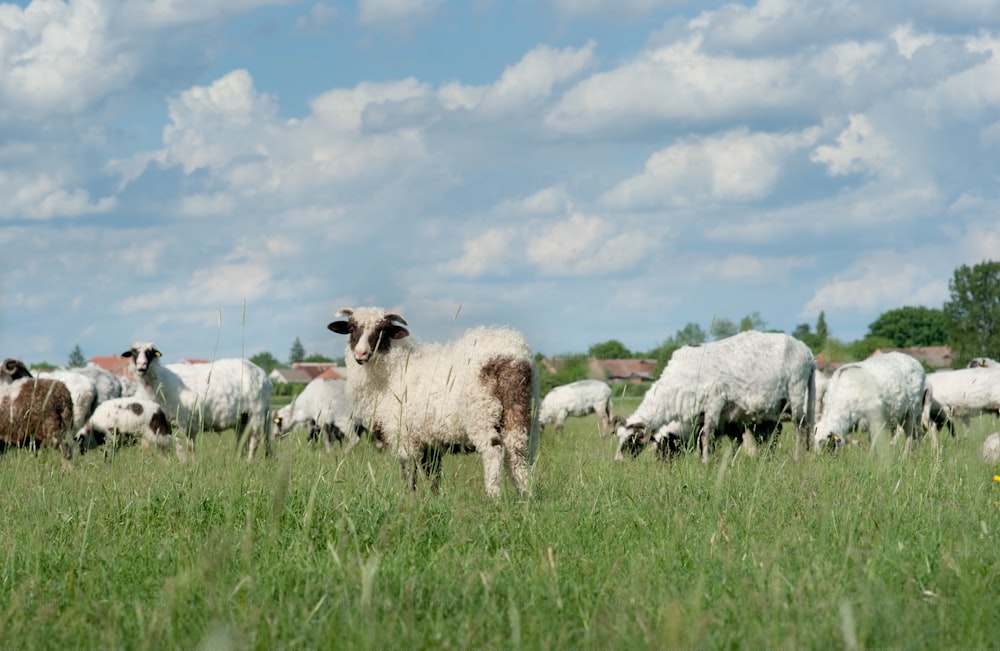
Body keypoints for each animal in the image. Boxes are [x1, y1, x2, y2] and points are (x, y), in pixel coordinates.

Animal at [123, 344, 276, 460]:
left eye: (150, 353)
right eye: (134, 353)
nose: (141, 366)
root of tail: (265, 377)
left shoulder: (187, 421)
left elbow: (191, 447)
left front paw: (193, 464)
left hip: (256, 413)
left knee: (255, 440)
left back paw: (249, 461)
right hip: (243, 417)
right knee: (242, 441)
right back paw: (238, 461)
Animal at [326, 308, 540, 496]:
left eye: (382, 330)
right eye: (352, 328)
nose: (360, 354)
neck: (391, 372)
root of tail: (512, 354)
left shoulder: (403, 433)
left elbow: (408, 471)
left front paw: (409, 498)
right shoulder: (429, 440)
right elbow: (432, 472)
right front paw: (433, 498)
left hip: (481, 412)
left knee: (493, 450)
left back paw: (493, 496)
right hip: (522, 411)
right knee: (519, 452)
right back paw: (525, 495)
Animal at [612, 334, 816, 466]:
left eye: (630, 441)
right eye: (618, 438)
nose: (618, 462)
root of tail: (807, 352)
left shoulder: (715, 403)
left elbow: (706, 436)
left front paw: (705, 462)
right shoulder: (704, 416)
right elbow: (709, 439)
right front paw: (708, 459)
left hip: (796, 391)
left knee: (801, 427)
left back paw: (798, 458)